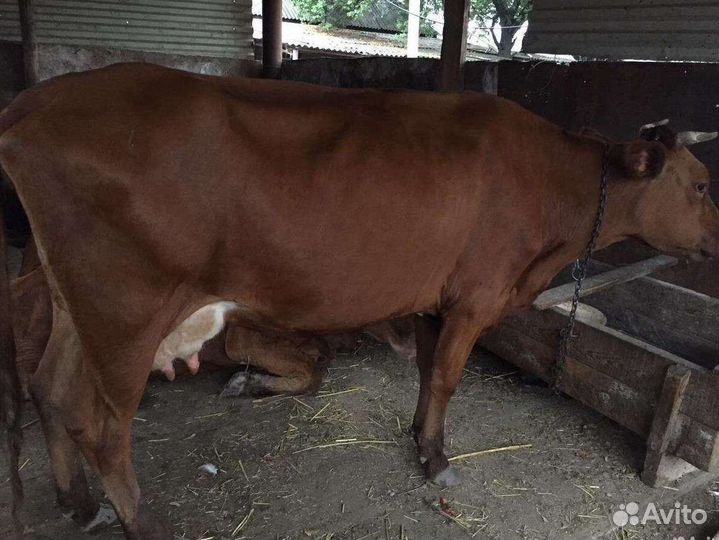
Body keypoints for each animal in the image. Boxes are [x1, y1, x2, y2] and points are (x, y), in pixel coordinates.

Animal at [0, 63, 717, 539]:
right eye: (702, 185)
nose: (718, 234)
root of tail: (39, 99)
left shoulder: (436, 298)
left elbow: (427, 374)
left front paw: (419, 439)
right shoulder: (475, 297)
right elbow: (448, 377)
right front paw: (437, 460)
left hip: (74, 307)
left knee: (50, 389)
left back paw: (78, 504)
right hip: (125, 313)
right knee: (102, 426)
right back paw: (142, 521)